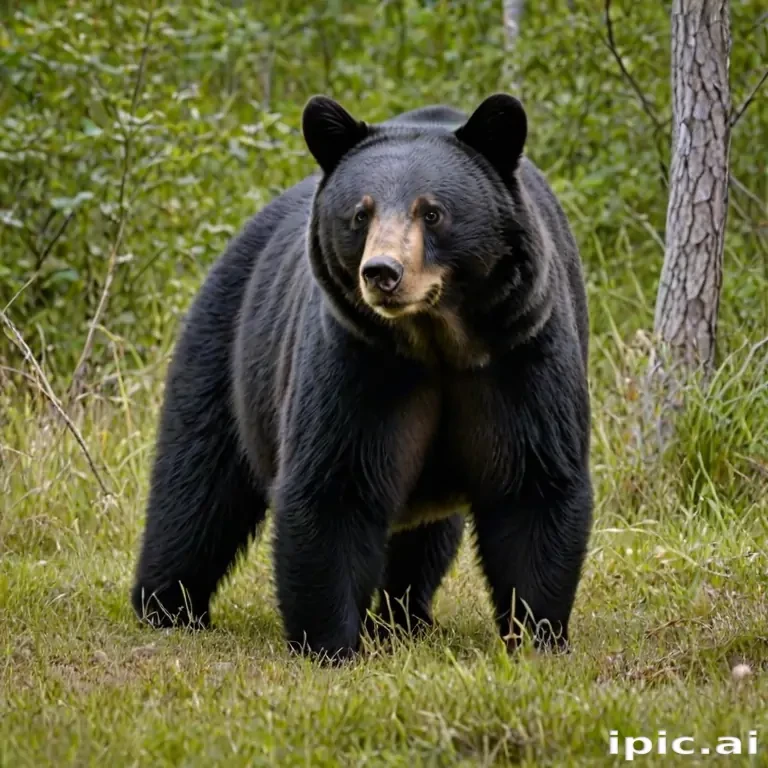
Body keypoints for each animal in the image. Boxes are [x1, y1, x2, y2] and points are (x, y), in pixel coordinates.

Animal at [131, 93, 593, 661]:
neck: (437, 341)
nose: (382, 272)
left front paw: (536, 636)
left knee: (424, 541)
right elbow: (334, 485)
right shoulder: (358, 360)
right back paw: (168, 606)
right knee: (196, 484)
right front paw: (330, 643)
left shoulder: (520, 352)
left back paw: (406, 618)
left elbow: (534, 484)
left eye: (432, 211)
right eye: (359, 213)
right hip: (228, 350)